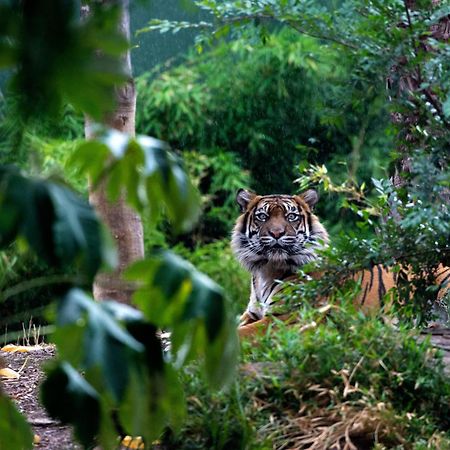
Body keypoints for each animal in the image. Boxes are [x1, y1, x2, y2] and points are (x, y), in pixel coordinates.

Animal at [232, 187, 450, 338]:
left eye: (291, 216)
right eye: (262, 217)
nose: (276, 233)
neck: (267, 269)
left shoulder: (285, 317)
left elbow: (241, 335)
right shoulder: (252, 313)